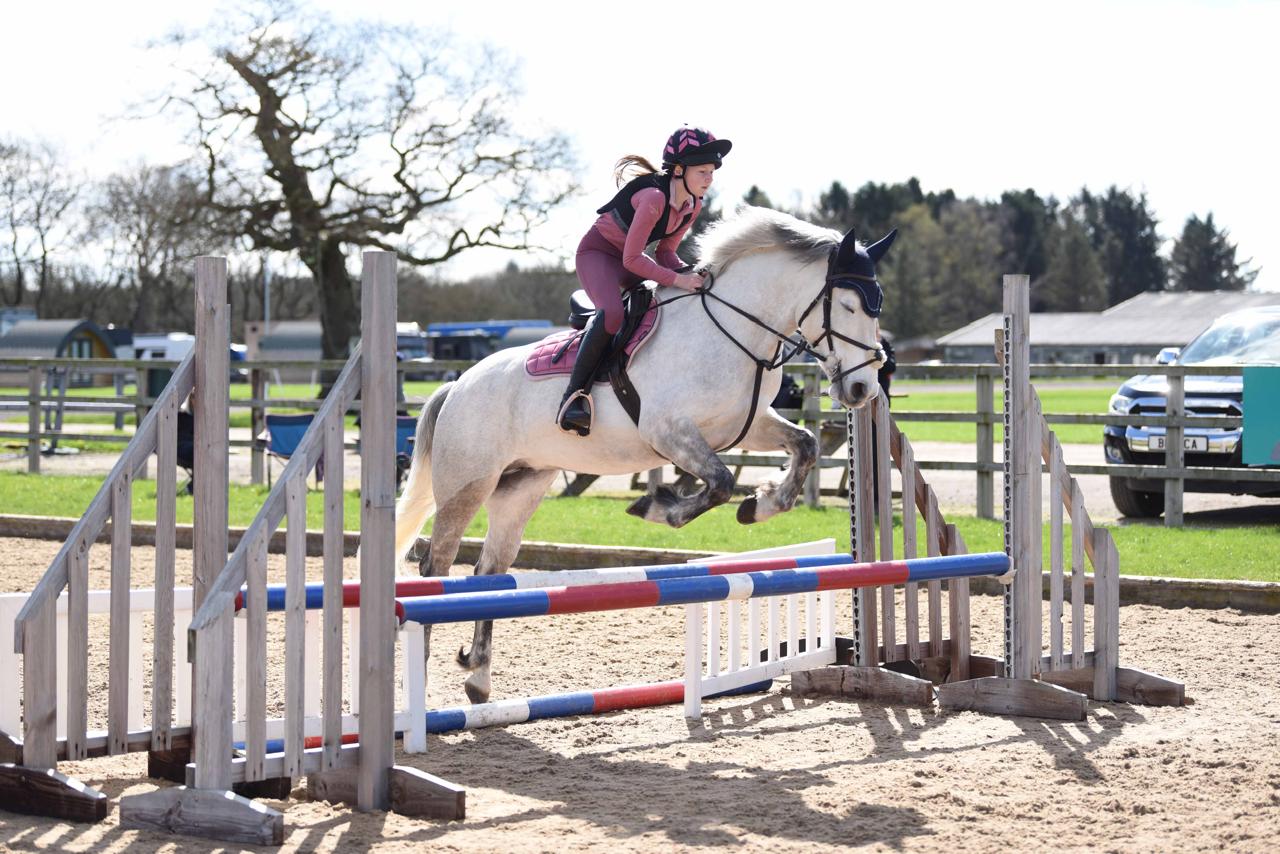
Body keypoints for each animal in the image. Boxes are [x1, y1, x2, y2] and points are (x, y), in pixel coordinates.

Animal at [394, 205, 897, 703]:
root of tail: (459, 384)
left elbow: (805, 446)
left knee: (490, 570)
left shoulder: (749, 426)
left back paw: (478, 678)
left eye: (878, 306)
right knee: (436, 567)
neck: (735, 329)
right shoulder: (669, 431)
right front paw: (657, 507)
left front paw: (760, 506)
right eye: (849, 306)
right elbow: (720, 483)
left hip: (522, 486)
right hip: (467, 485)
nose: (862, 389)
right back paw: (421, 683)